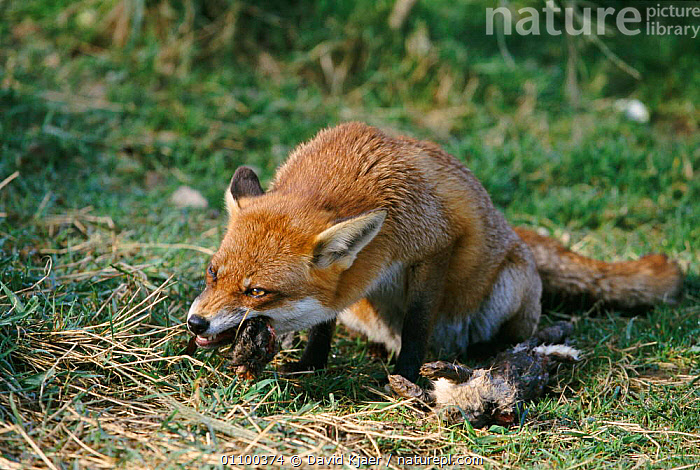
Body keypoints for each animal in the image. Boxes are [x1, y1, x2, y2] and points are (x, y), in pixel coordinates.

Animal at [186, 122, 683, 382]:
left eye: (256, 292)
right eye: (212, 274)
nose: (195, 323)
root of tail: (518, 235)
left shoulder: (436, 245)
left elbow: (417, 323)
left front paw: (406, 378)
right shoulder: (347, 282)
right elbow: (322, 321)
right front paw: (311, 364)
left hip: (509, 287)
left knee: (509, 333)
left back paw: (496, 353)